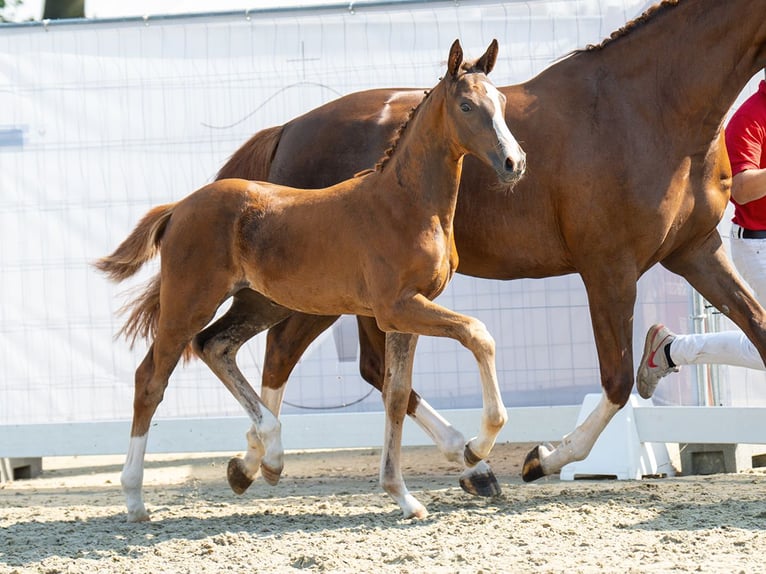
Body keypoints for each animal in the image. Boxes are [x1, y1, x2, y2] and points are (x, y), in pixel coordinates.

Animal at [97, 40, 528, 520]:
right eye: (467, 105)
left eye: (502, 101)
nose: (514, 162)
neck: (407, 204)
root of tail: (178, 208)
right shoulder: (398, 306)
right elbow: (478, 334)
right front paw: (476, 447)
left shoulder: (403, 316)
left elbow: (396, 395)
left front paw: (402, 495)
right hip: (189, 301)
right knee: (151, 378)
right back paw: (137, 497)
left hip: (264, 301)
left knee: (216, 345)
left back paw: (264, 450)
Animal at [213, 1, 766, 490]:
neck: (646, 107)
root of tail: (288, 129)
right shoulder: (609, 268)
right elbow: (615, 380)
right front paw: (543, 458)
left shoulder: (697, 252)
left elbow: (756, 331)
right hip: (327, 290)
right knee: (282, 351)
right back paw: (264, 458)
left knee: (369, 368)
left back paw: (465, 463)